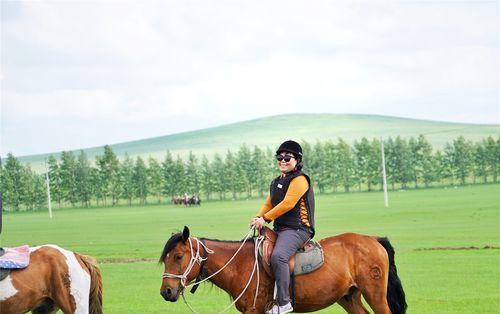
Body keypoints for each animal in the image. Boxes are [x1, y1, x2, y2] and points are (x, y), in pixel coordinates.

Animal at [160, 227, 406, 314]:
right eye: (165, 259)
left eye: (179, 256)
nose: (166, 292)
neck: (240, 264)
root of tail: (373, 239)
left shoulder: (255, 312)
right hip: (348, 297)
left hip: (375, 294)